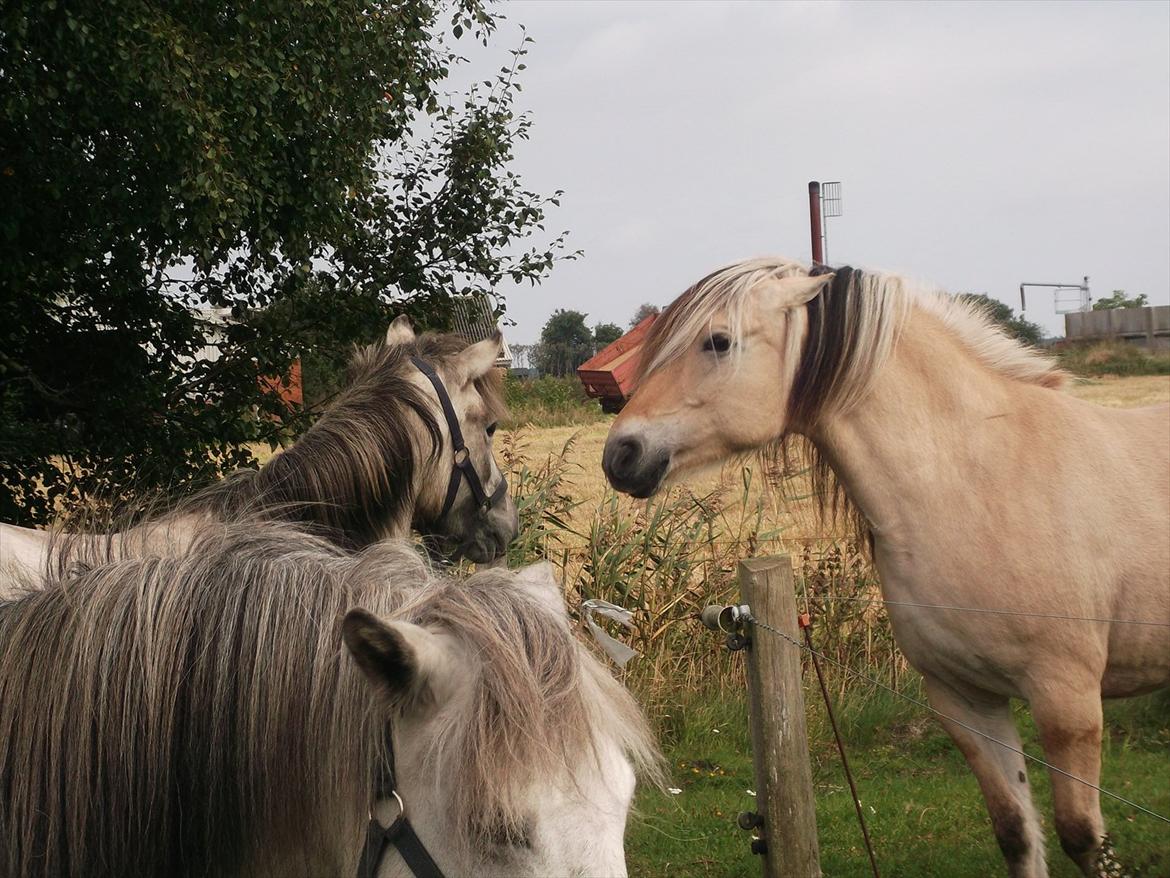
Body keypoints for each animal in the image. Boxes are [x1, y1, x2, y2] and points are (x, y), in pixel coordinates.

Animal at [603, 256, 1170, 878]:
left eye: (718, 342)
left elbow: (1082, 838)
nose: (620, 454)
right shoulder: (964, 701)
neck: (985, 478)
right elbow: (1017, 832)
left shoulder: (1066, 702)